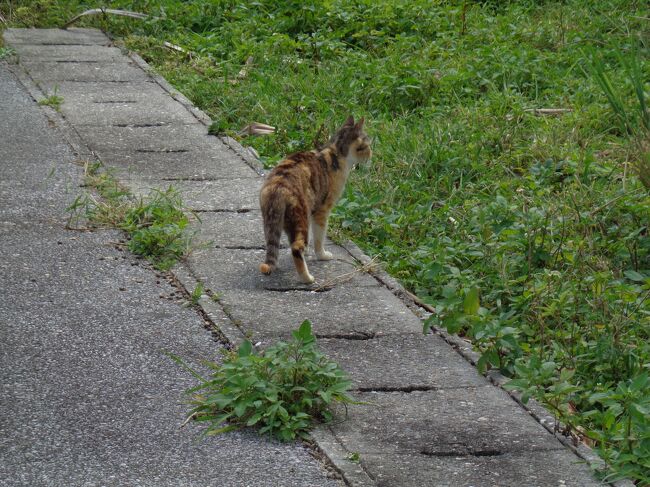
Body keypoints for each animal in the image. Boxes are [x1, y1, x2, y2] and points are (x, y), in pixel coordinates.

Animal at [256, 117, 370, 284]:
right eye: (366, 146)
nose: (370, 155)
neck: (336, 152)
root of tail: (278, 187)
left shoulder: (313, 210)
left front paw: (309, 251)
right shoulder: (322, 211)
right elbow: (319, 237)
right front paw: (321, 255)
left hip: (272, 223)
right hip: (300, 217)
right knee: (296, 247)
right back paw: (307, 278)